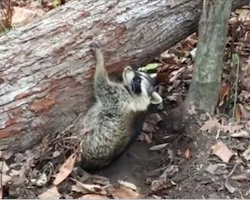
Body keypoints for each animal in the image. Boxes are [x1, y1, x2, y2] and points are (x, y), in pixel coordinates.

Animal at [79, 42, 163, 170]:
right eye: (139, 72)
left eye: (138, 80)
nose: (128, 68)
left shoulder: (118, 97)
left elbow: (100, 82)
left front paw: (100, 60)